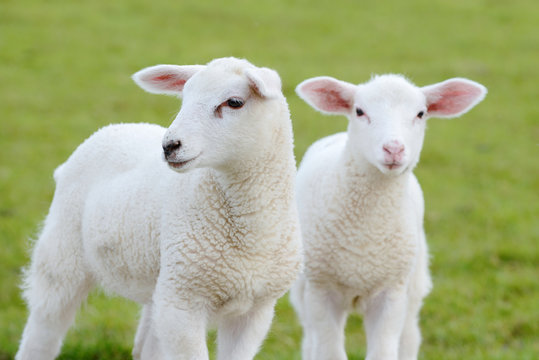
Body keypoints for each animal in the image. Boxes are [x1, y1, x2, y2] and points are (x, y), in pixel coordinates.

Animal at [15, 57, 304, 360]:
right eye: (184, 97)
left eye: (234, 102)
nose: (169, 145)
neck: (253, 234)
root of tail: (116, 127)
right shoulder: (183, 303)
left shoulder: (256, 310)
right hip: (62, 255)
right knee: (43, 330)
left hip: (158, 283)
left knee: (146, 347)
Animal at [292, 74, 490, 360]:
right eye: (359, 111)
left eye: (421, 113)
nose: (394, 148)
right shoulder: (321, 290)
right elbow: (329, 352)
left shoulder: (391, 293)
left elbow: (383, 352)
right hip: (302, 288)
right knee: (310, 340)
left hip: (413, 283)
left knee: (409, 337)